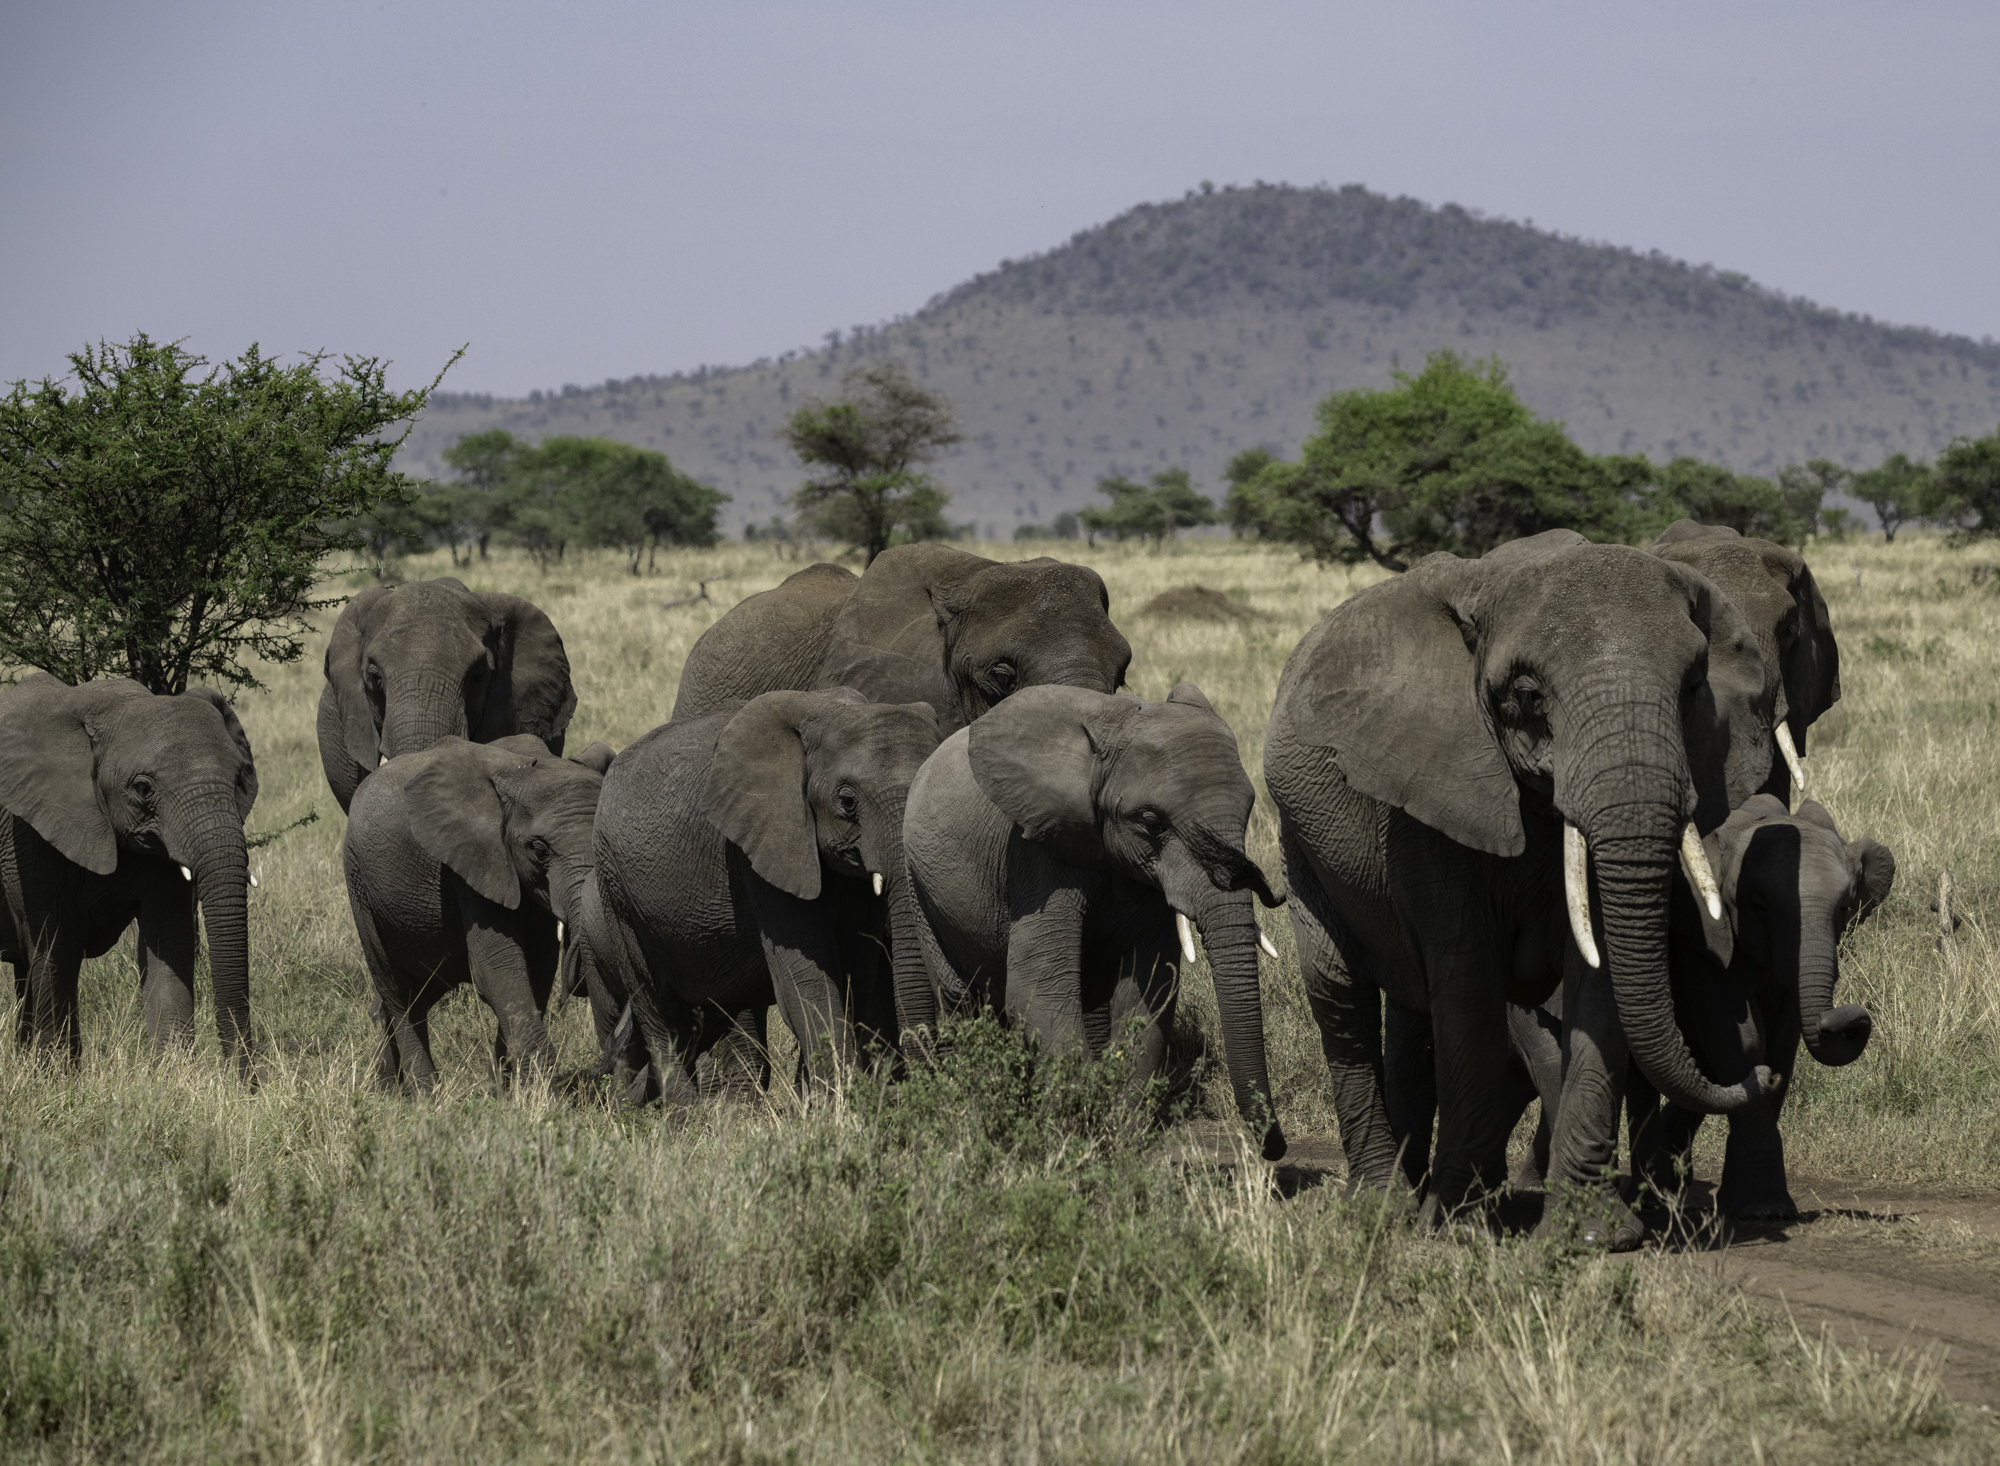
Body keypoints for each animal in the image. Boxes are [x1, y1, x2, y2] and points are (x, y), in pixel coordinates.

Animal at [0, 674, 258, 1076]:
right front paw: (56, 1079)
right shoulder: (28, 833)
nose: (243, 1081)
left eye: (239, 778)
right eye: (142, 789)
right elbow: (55, 945)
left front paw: (173, 1077)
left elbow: (169, 942)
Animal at [342, 733, 613, 1091]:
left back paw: (385, 1088)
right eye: (539, 850)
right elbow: (497, 969)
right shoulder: (473, 860)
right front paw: (540, 1095)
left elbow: (537, 970)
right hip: (359, 885)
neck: (520, 769)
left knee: (418, 992)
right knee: (399, 993)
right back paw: (425, 1095)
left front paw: (506, 1091)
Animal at [575, 689, 941, 1104]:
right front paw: (839, 1108)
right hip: (616, 891)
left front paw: (822, 1103)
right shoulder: (763, 849)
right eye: (847, 802)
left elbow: (854, 973)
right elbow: (806, 980)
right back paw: (686, 1115)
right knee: (658, 1010)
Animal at [903, 683, 1288, 1161]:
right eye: (1151, 822)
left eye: (1250, 810)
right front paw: (1080, 1130)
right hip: (918, 883)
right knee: (960, 999)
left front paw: (1121, 1136)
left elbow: (1147, 992)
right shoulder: (1037, 853)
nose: (1275, 1148)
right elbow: (1038, 992)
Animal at [1263, 530, 1780, 1247]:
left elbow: (1597, 981)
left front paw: (1593, 1236)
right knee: (1341, 998)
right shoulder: (1428, 800)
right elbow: (1468, 979)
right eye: (1529, 696)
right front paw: (1459, 1226)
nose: (1766, 1072)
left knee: (1412, 1014)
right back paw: (1383, 1209)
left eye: (1693, 687)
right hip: (1300, 844)